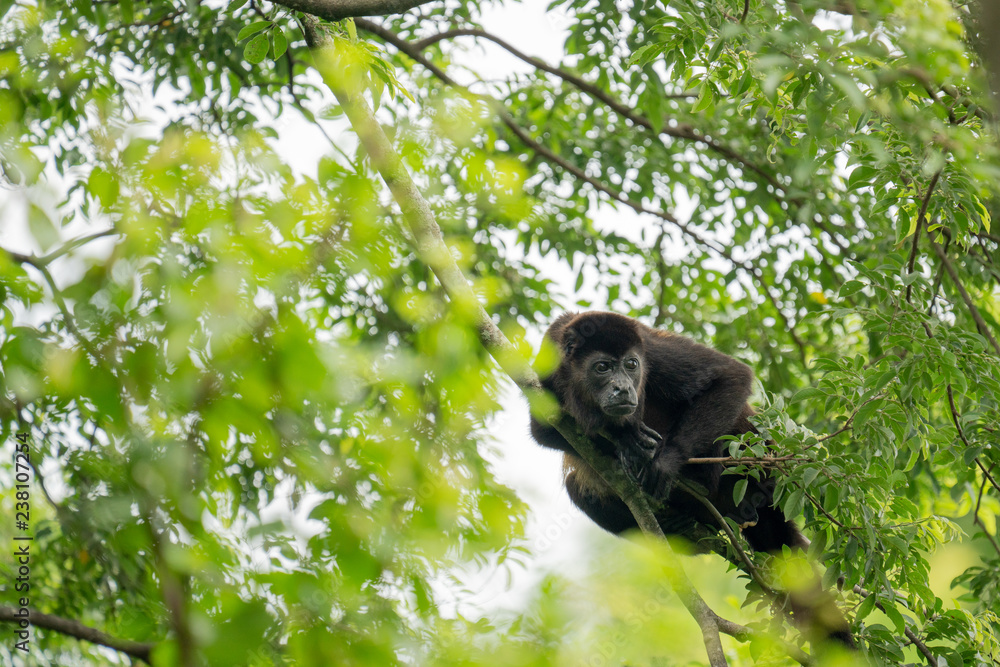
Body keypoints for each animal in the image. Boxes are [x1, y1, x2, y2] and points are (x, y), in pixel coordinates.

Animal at [530, 311, 853, 647]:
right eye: (602, 367)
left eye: (632, 364)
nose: (624, 389)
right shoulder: (549, 360)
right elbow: (542, 428)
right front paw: (625, 438)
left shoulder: (652, 350)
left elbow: (730, 376)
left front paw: (664, 461)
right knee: (576, 486)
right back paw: (681, 525)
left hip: (760, 453)